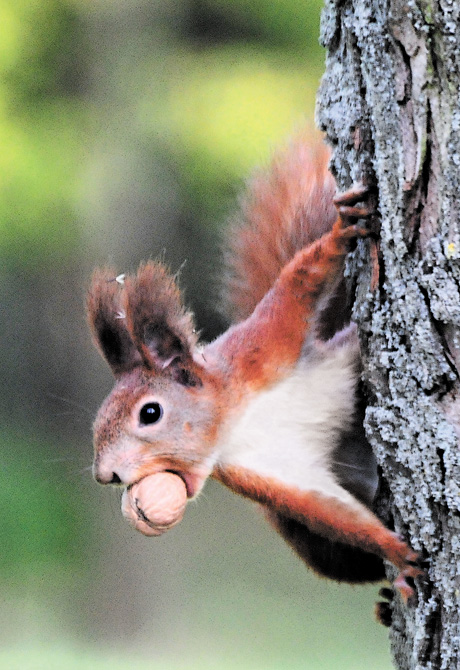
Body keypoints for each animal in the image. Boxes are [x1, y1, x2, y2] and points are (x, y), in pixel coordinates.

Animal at [87, 139, 424, 616]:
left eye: (150, 413)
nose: (106, 475)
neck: (238, 419)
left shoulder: (263, 347)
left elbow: (299, 283)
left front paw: (341, 232)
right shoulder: (265, 472)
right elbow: (330, 513)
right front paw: (397, 554)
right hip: (305, 540)